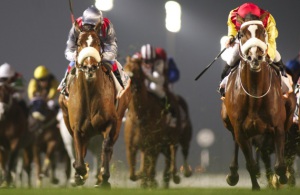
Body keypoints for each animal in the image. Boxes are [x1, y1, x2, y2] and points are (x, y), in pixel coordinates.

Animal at [58, 21, 131, 187]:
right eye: (79, 43)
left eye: (98, 42)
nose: (89, 66)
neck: (90, 96)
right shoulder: (77, 127)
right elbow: (79, 154)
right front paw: (80, 174)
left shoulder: (111, 123)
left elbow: (106, 148)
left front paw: (103, 178)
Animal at [220, 16, 296, 190]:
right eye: (241, 34)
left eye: (263, 32)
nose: (255, 57)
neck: (254, 95)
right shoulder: (240, 130)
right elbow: (251, 164)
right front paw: (255, 186)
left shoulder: (277, 127)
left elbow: (280, 165)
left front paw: (282, 177)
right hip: (228, 121)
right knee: (235, 142)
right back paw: (233, 174)